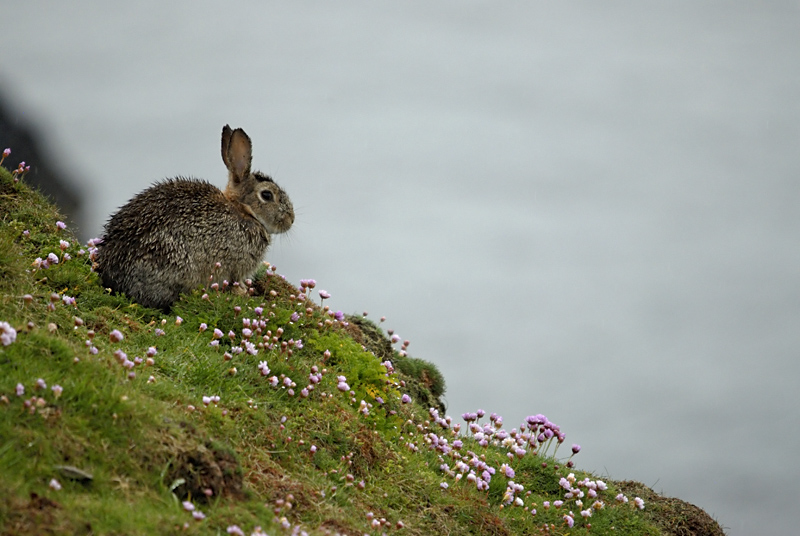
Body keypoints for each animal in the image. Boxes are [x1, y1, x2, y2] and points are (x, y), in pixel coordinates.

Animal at [95, 125, 294, 311]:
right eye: (267, 195)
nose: (290, 220)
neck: (243, 210)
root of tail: (111, 275)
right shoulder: (236, 266)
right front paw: (244, 292)